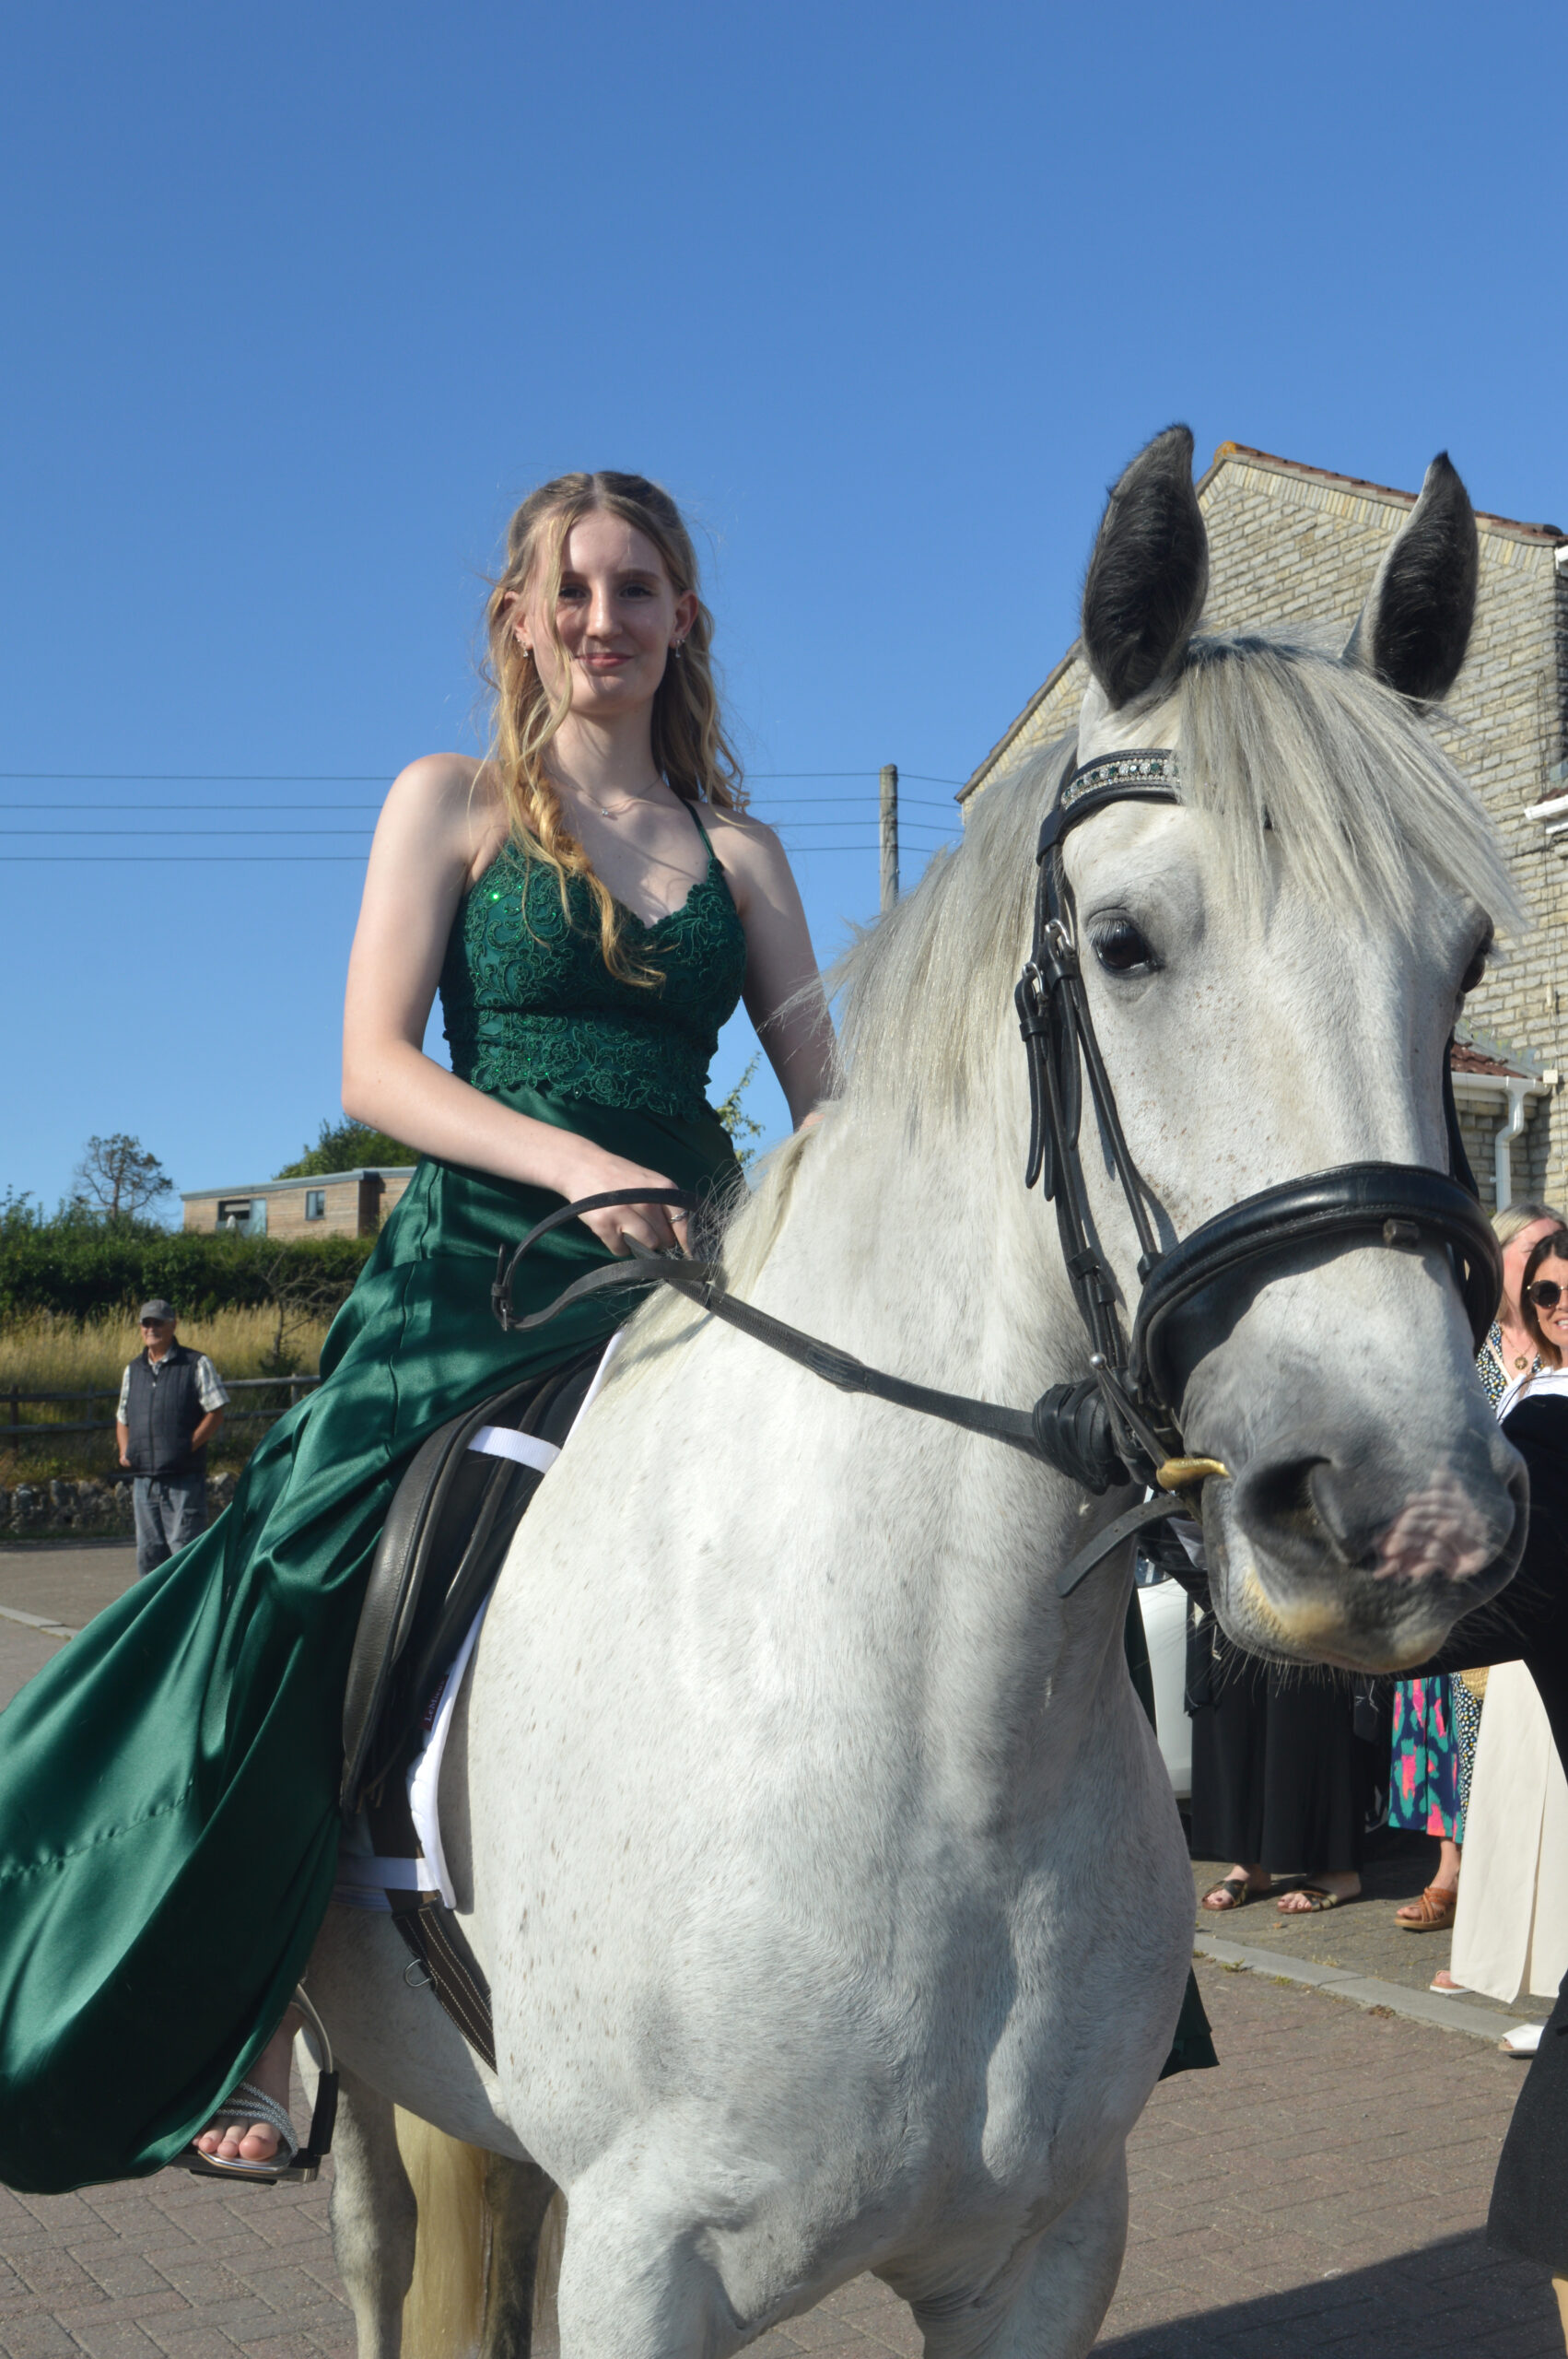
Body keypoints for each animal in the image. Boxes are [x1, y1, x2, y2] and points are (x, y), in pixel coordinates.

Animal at [305, 424, 1527, 2357]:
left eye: (1463, 960)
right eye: (1122, 943)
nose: (1402, 1518)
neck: (941, 1749)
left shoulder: (1045, 2250)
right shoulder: (643, 2261)